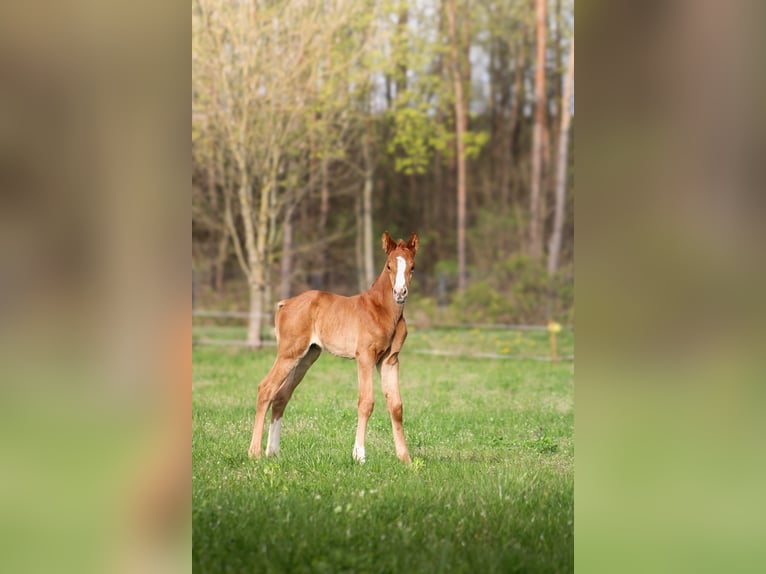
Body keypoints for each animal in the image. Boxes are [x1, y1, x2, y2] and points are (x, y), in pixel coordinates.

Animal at [249, 230, 420, 464]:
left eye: (412, 267)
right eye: (388, 266)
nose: (400, 293)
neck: (382, 310)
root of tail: (285, 303)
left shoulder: (390, 360)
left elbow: (396, 406)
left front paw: (405, 459)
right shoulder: (365, 356)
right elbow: (366, 402)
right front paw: (359, 455)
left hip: (307, 356)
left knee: (281, 395)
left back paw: (273, 452)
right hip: (289, 353)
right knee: (266, 388)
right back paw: (254, 452)